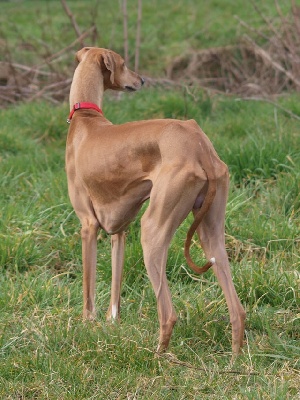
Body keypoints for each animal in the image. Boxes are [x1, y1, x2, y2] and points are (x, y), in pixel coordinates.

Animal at [64, 47, 245, 356]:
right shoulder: (120, 231)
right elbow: (115, 292)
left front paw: (86, 328)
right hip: (211, 235)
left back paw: (157, 356)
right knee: (237, 310)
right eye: (124, 64)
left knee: (168, 313)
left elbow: (88, 294)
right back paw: (236, 362)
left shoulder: (88, 226)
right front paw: (112, 326)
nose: (142, 80)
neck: (85, 116)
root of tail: (199, 145)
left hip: (152, 231)